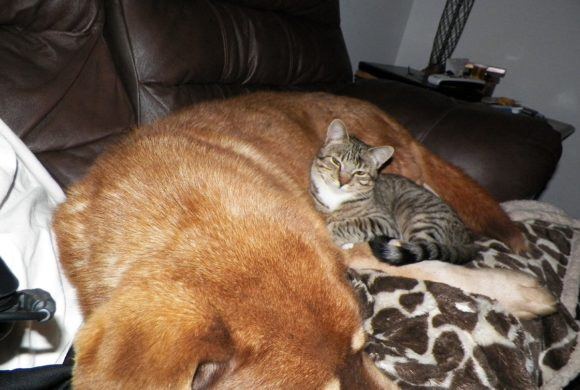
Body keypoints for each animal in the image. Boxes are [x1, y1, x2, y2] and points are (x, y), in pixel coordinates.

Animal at [310, 119, 478, 266]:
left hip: (419, 216)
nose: (342, 181)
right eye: (336, 162)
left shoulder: (384, 221)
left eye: (360, 173)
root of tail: (468, 240)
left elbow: (358, 224)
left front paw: (337, 233)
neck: (336, 197)